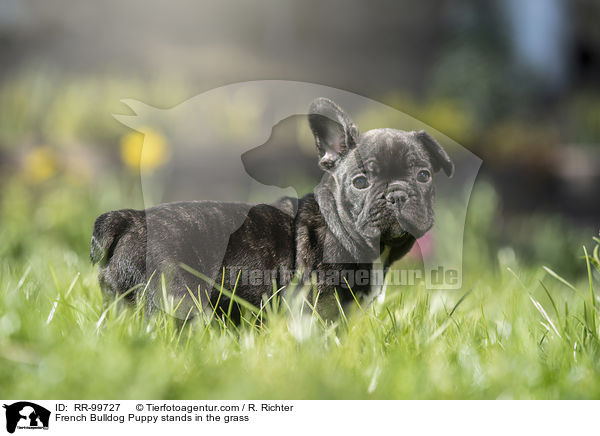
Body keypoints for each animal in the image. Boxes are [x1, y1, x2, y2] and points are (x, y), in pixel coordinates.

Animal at [90, 98, 454, 316]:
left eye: (423, 176)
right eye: (361, 182)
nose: (396, 195)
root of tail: (128, 220)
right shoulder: (320, 301)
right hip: (176, 294)